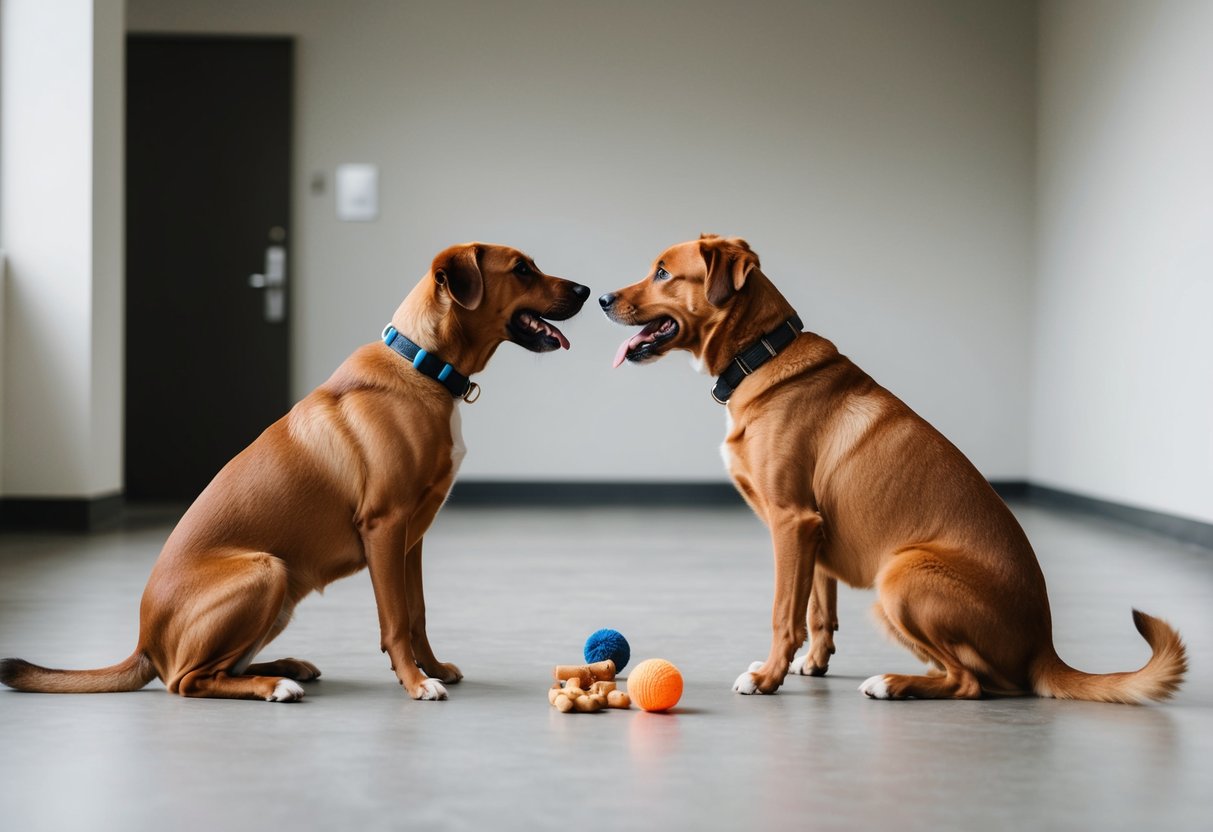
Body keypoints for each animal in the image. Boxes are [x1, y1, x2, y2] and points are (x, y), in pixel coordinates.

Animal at [0, 242, 587, 703]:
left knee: (219, 667)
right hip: (267, 571)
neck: (423, 364)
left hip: (279, 596)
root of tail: (145, 642)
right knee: (188, 681)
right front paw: (416, 681)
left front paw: (434, 667)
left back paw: (286, 667)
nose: (586, 290)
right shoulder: (385, 528)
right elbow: (396, 620)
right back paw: (274, 685)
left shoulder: (413, 539)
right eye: (522, 269)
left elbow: (418, 614)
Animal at [601, 235, 1188, 703]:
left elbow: (784, 614)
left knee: (975, 683)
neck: (762, 355)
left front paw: (768, 677)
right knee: (980, 677)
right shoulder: (813, 533)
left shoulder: (792, 522)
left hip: (901, 575)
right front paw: (812, 665)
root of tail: (1045, 648)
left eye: (662, 272)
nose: (603, 298)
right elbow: (818, 611)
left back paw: (894, 684)